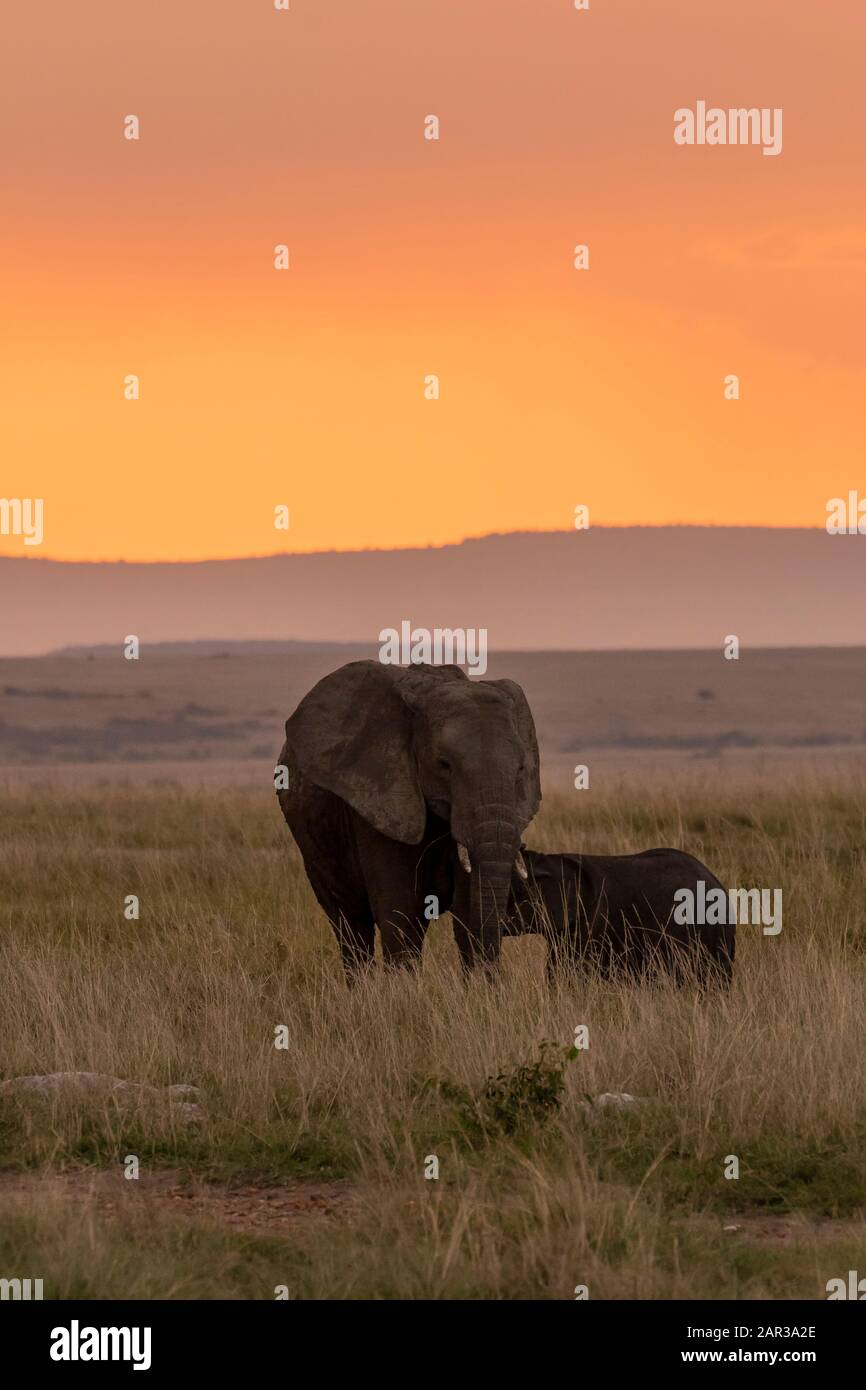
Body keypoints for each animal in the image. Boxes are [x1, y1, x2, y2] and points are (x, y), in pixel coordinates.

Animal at [276, 660, 541, 978]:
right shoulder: (379, 799)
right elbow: (399, 912)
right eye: (444, 765)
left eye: (521, 769)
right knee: (350, 926)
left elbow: (467, 911)